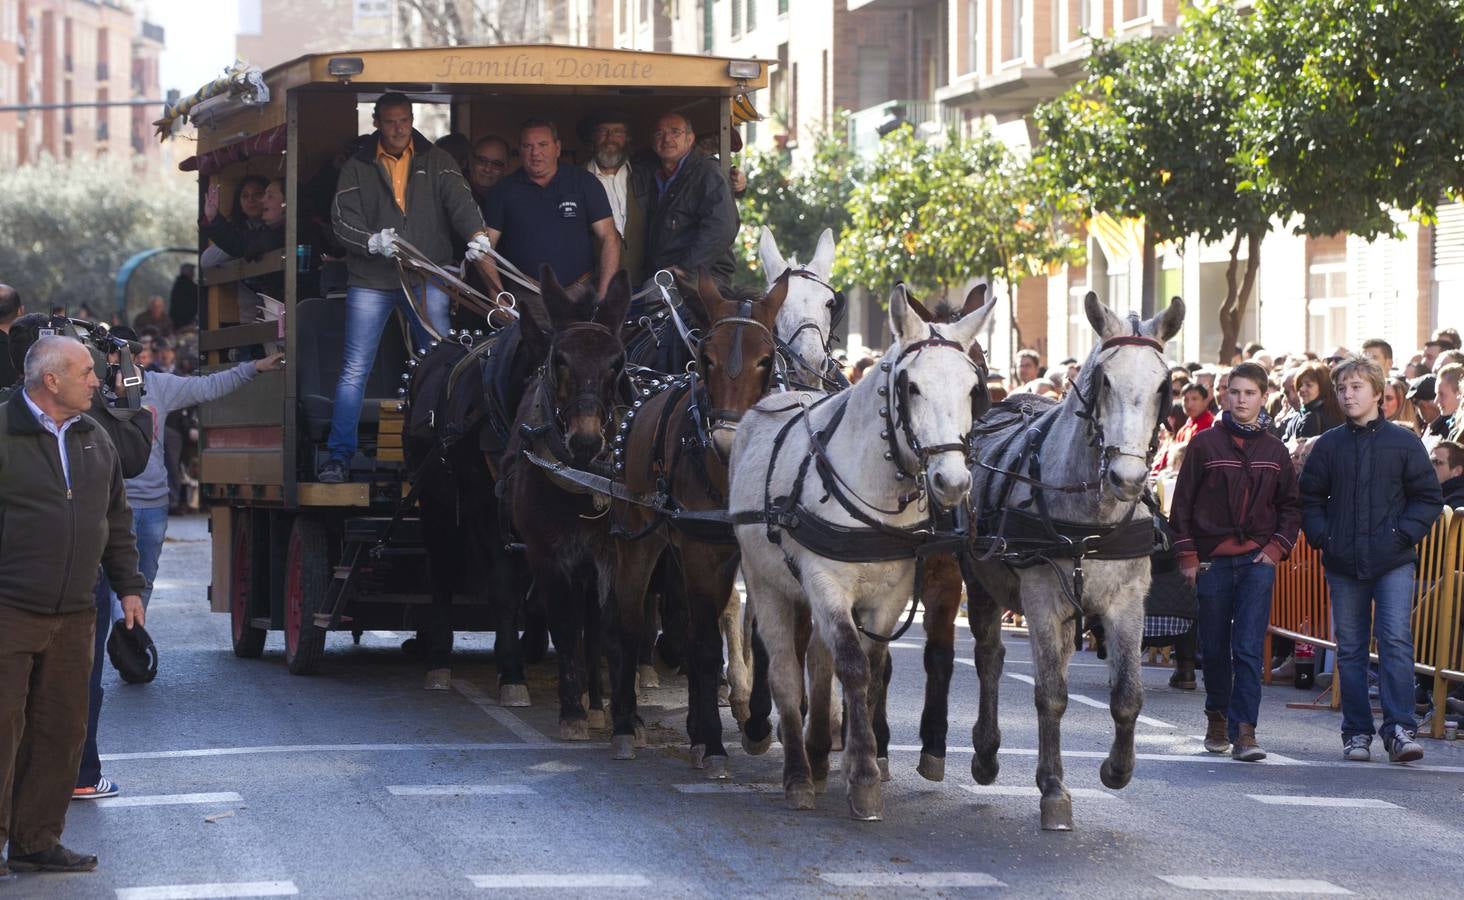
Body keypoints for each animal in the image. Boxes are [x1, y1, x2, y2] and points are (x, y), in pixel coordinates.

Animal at [500, 266, 632, 740]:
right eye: (561, 360)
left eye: (617, 363)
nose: (588, 440)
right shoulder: (546, 553)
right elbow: (562, 620)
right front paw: (572, 711)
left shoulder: (610, 553)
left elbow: (608, 627)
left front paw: (614, 712)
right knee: (510, 595)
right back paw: (514, 678)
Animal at [597, 269, 790, 772]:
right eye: (706, 357)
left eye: (766, 360)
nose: (726, 441)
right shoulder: (704, 554)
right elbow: (702, 648)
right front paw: (715, 743)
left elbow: (761, 639)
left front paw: (756, 727)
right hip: (638, 540)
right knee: (630, 620)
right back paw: (626, 724)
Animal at [732, 285, 995, 819]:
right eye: (911, 387)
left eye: (972, 390)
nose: (952, 483)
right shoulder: (825, 583)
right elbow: (851, 665)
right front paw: (863, 775)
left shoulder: (893, 593)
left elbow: (871, 670)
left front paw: (864, 757)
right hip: (768, 583)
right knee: (786, 669)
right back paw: (797, 769)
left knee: (817, 657)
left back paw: (816, 749)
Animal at [966, 294, 1182, 831]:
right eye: (1104, 380)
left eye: (1164, 384)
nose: (1128, 478)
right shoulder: (1041, 600)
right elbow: (1050, 694)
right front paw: (1053, 788)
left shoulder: (1128, 604)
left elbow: (1127, 695)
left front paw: (1117, 769)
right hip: (980, 582)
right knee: (989, 659)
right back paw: (985, 752)